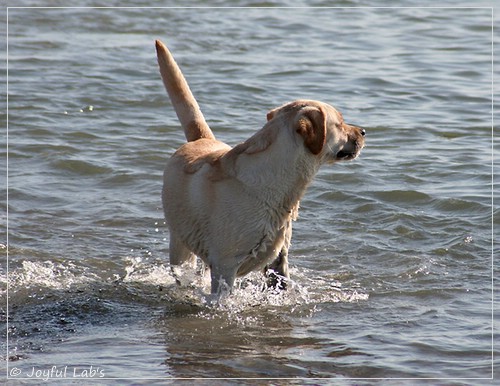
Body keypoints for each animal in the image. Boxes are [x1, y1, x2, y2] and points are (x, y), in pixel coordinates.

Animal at [154, 40, 366, 296]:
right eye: (341, 123)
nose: (364, 132)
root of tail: (201, 139)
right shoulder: (225, 264)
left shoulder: (278, 258)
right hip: (179, 247)